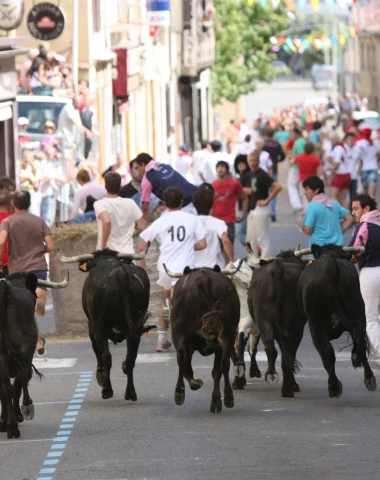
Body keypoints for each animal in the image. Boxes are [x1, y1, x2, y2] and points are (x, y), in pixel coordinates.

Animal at [170, 266, 240, 412]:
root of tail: (204, 277)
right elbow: (217, 370)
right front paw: (217, 400)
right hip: (228, 334)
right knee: (223, 364)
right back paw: (224, 397)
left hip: (179, 334)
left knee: (182, 358)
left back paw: (181, 390)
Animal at [298, 246, 376, 396]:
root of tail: (330, 263)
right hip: (356, 312)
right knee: (358, 339)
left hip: (316, 326)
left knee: (329, 351)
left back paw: (335, 385)